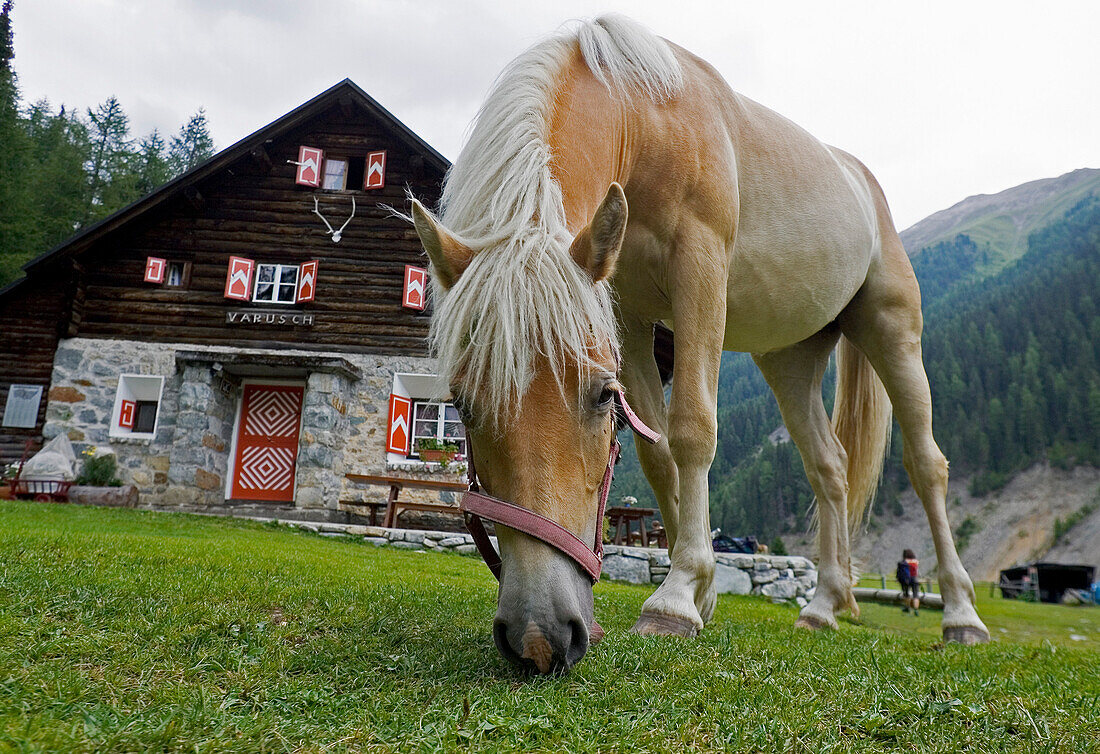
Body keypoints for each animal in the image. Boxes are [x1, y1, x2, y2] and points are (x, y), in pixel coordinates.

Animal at [409, 13, 994, 669]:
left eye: (600, 396)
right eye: (462, 405)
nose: (540, 636)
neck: (646, 117)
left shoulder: (700, 274)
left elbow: (692, 429)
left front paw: (677, 599)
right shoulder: (630, 313)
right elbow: (658, 452)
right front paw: (702, 591)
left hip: (893, 333)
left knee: (927, 465)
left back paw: (962, 616)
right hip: (789, 361)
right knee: (830, 469)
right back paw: (823, 606)